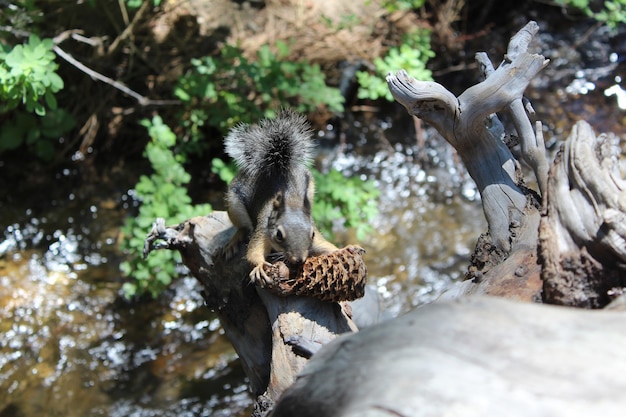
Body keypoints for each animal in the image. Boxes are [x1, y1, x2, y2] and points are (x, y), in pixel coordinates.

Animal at [219, 109, 336, 286]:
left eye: (312, 234)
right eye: (279, 235)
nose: (299, 260)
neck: (291, 203)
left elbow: (325, 245)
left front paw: (345, 249)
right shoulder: (263, 229)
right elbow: (253, 253)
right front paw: (260, 266)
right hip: (233, 205)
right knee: (241, 227)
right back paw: (233, 241)